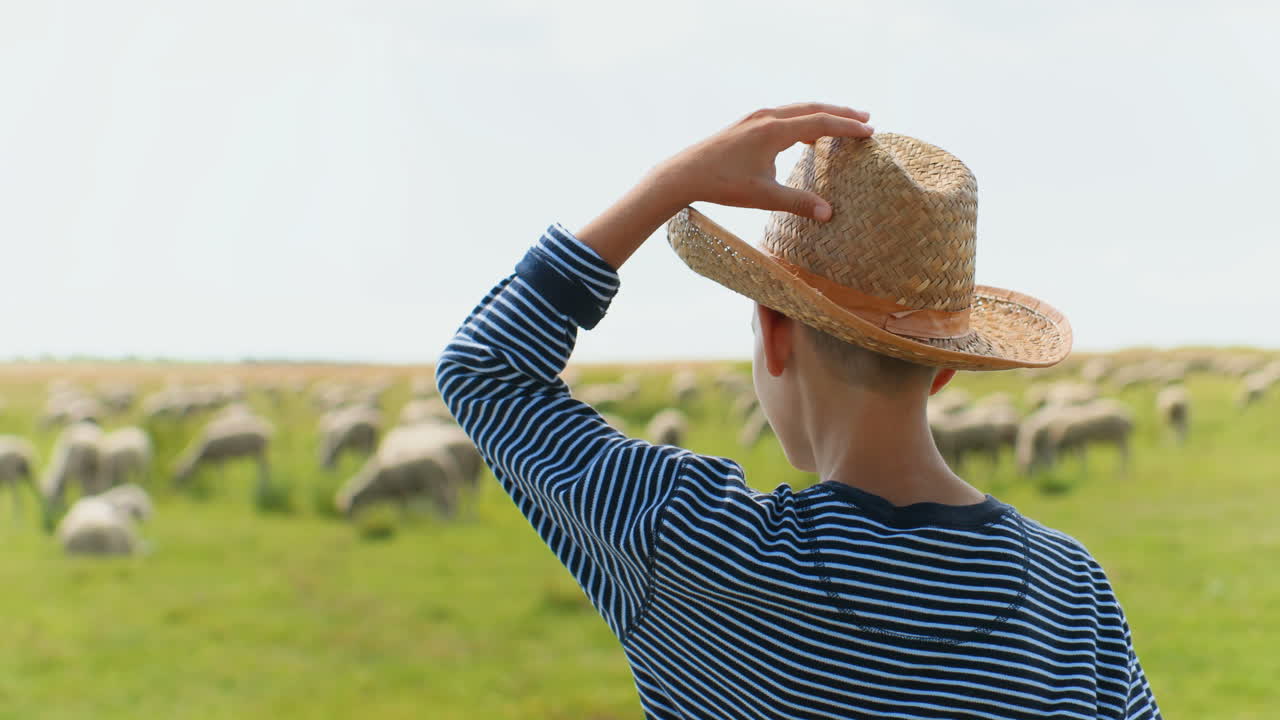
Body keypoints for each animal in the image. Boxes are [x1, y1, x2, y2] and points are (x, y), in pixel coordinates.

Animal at [335, 425, 465, 517]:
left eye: (350, 508)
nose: (350, 522)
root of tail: (445, 461)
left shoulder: (399, 491)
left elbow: (401, 508)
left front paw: (403, 518)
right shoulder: (398, 492)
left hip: (434, 483)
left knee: (444, 500)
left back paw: (445, 518)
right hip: (444, 483)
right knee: (451, 498)